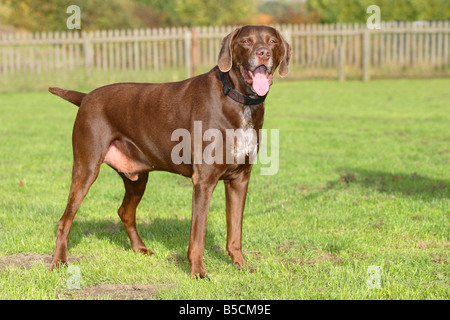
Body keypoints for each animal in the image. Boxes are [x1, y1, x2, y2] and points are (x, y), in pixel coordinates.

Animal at [47, 25, 290, 278]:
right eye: (245, 41)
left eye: (272, 41)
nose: (263, 53)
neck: (239, 100)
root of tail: (86, 97)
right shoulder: (204, 181)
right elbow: (198, 235)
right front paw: (198, 272)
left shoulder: (239, 179)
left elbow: (235, 233)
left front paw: (241, 266)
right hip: (86, 168)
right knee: (65, 220)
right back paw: (58, 262)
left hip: (137, 177)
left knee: (125, 212)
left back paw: (140, 248)